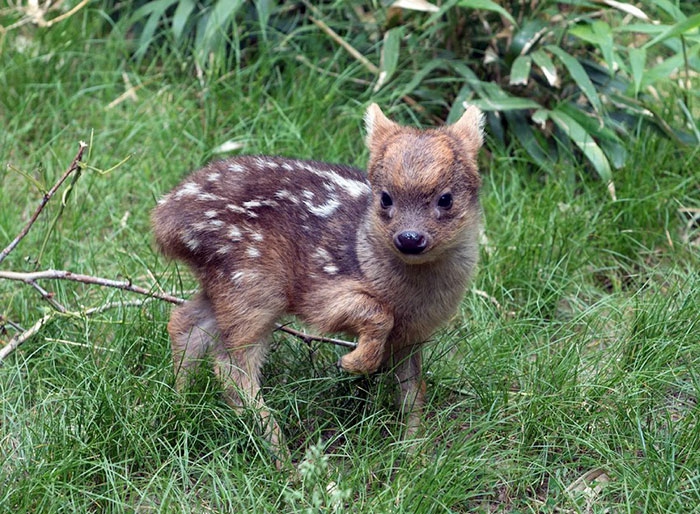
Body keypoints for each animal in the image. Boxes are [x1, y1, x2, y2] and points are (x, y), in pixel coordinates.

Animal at [151, 103, 484, 460]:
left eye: (446, 199)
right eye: (385, 198)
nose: (409, 238)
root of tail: (164, 222)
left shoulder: (414, 335)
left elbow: (413, 389)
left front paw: (414, 452)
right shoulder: (321, 292)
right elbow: (377, 314)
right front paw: (353, 363)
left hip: (224, 282)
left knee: (185, 322)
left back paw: (180, 403)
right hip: (253, 280)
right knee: (231, 366)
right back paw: (282, 457)